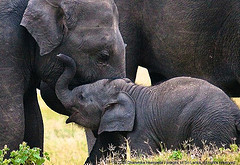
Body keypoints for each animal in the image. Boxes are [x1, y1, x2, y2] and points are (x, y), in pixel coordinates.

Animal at [55, 54, 240, 164]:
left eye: (81, 97)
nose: (59, 55)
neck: (130, 91)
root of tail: (235, 113)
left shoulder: (141, 129)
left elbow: (142, 155)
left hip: (212, 127)